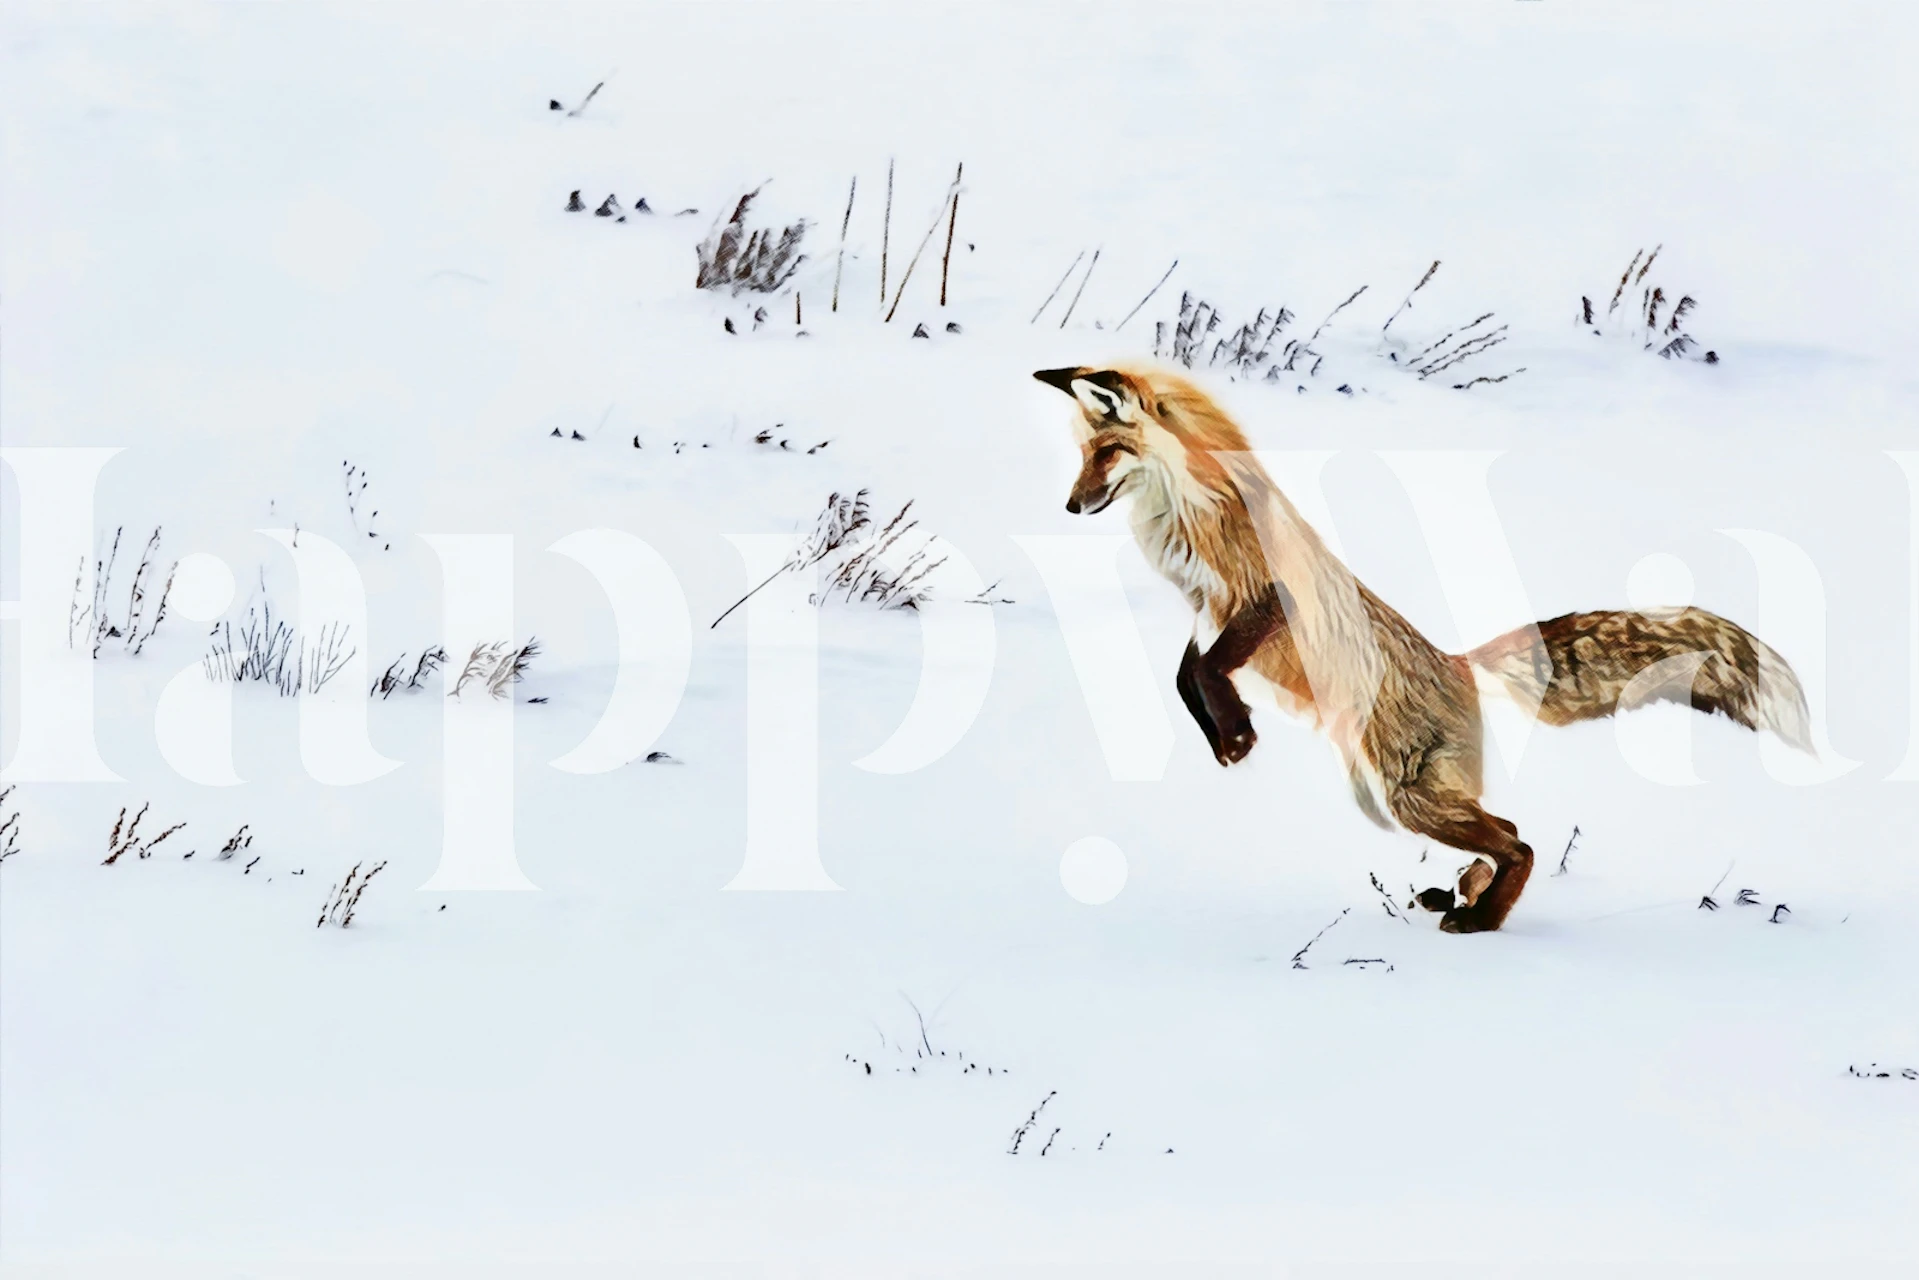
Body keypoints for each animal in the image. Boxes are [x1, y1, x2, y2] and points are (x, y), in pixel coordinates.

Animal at [1034, 363, 1814, 933]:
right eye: (1082, 454)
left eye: (1108, 452)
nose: (1069, 506)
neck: (1188, 510)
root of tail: (1457, 662)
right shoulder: (1207, 609)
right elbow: (1186, 675)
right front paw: (1228, 734)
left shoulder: (1265, 597)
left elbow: (1206, 670)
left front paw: (1234, 734)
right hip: (1395, 798)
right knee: (1503, 831)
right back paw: (1461, 894)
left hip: (1405, 797)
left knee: (1520, 841)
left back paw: (1479, 921)